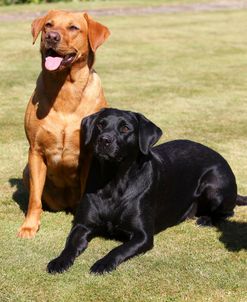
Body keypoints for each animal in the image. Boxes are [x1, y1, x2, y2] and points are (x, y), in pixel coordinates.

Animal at [19, 10, 111, 238]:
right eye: (48, 25)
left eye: (73, 27)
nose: (51, 37)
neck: (65, 91)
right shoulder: (35, 151)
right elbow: (34, 198)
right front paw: (29, 226)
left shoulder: (89, 154)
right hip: (27, 171)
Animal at [46, 108, 247, 274]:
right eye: (100, 125)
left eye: (125, 128)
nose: (104, 140)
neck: (114, 181)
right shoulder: (83, 225)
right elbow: (70, 244)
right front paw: (59, 261)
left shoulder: (142, 235)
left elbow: (118, 249)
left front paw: (102, 263)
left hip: (214, 186)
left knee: (228, 211)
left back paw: (206, 219)